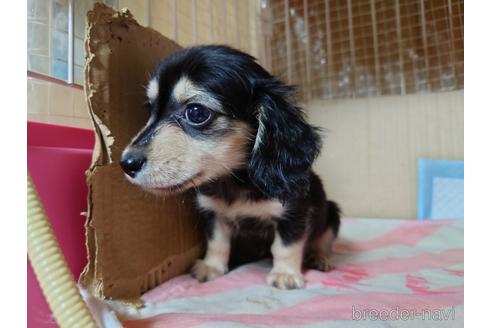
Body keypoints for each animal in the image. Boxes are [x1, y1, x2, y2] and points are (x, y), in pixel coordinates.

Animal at [120, 44, 342, 288]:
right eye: (150, 109)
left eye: (196, 112)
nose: (126, 163)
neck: (234, 182)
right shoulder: (213, 213)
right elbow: (217, 243)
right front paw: (211, 267)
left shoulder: (293, 213)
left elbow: (285, 247)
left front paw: (285, 275)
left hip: (333, 214)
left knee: (323, 242)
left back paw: (319, 258)